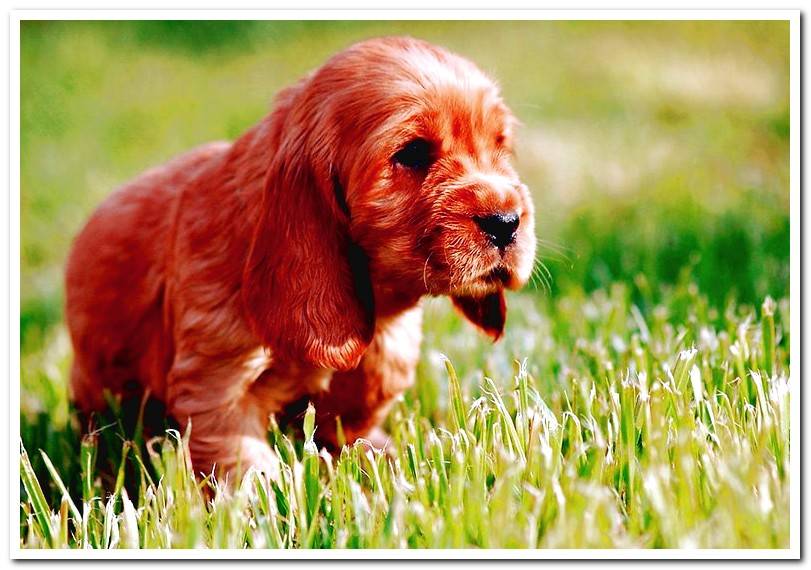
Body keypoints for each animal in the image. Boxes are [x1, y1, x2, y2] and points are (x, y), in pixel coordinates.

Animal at [66, 36, 536, 474]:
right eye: (413, 153)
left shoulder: (385, 355)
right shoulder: (215, 376)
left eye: (499, 147)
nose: (506, 221)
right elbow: (238, 455)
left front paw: (377, 457)